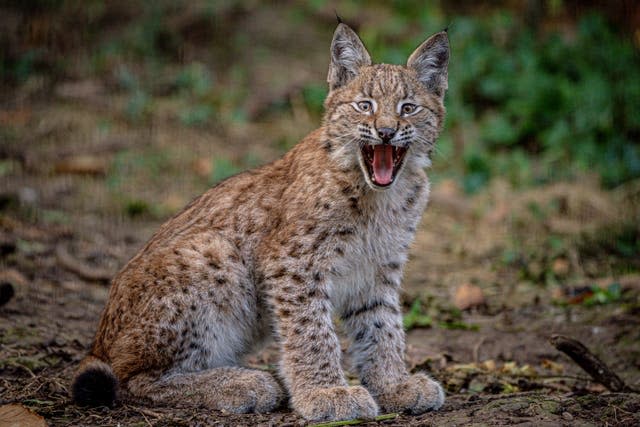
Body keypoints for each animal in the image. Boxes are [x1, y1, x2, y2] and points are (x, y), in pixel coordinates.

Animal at [71, 20, 450, 422]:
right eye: (365, 106)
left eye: (408, 108)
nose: (387, 132)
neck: (379, 195)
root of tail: (97, 339)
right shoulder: (293, 262)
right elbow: (312, 331)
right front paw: (326, 393)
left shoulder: (378, 266)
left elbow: (383, 327)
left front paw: (393, 385)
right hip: (214, 249)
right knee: (129, 379)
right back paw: (241, 383)